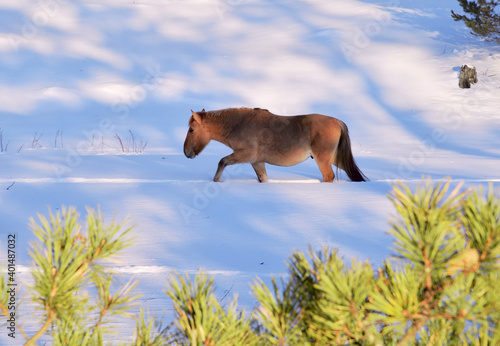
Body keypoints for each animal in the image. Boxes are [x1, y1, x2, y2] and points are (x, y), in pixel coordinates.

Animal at [184, 107, 368, 184]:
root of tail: (337, 122)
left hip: (323, 159)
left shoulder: (247, 155)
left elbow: (222, 161)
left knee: (328, 176)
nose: (186, 152)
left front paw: (217, 180)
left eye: (192, 129)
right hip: (335, 158)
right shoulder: (257, 162)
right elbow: (263, 179)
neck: (240, 124)